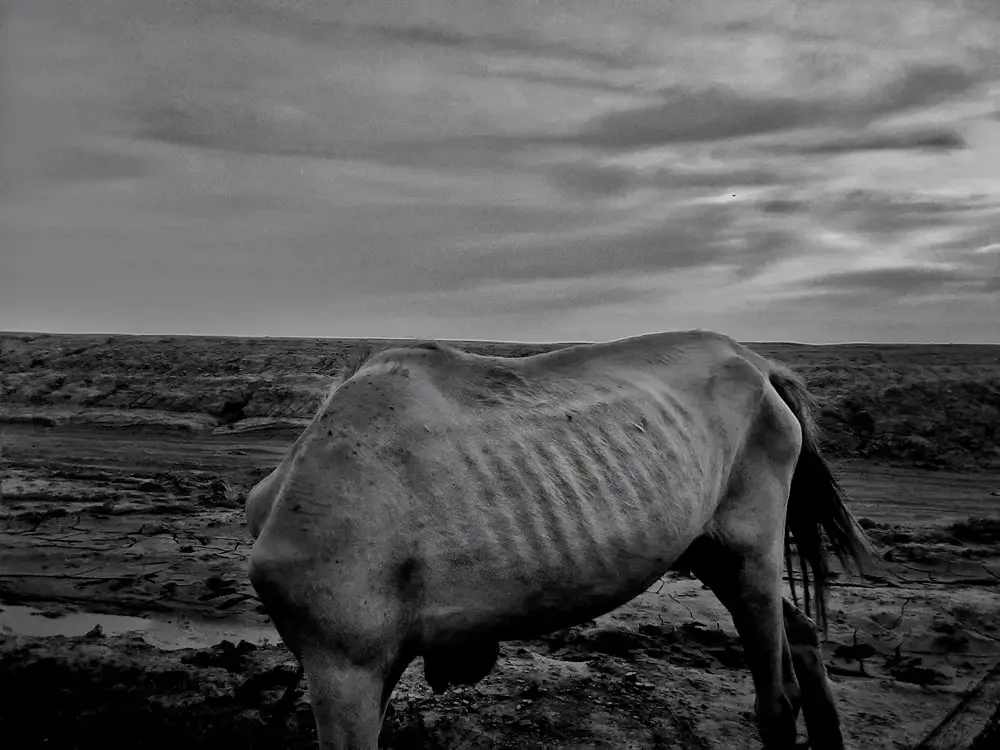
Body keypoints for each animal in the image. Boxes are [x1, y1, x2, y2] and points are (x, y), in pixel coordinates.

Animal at [246, 332, 872, 748]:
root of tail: (755, 361)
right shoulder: (373, 666)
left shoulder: (342, 669)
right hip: (711, 551)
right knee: (802, 633)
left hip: (749, 550)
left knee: (778, 700)